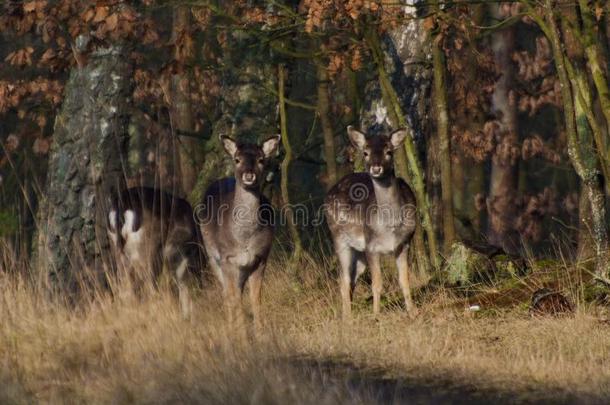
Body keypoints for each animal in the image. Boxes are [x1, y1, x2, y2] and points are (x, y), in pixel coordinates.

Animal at [107, 186, 202, 316]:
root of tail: (121, 209)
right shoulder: (180, 254)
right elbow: (182, 280)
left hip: (118, 252)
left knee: (125, 290)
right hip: (147, 252)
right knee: (149, 287)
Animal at [201, 133, 282, 328]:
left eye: (261, 159)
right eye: (237, 159)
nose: (249, 175)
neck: (244, 238)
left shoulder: (260, 258)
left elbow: (255, 299)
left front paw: (259, 331)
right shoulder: (227, 258)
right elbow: (234, 298)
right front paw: (240, 333)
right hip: (212, 256)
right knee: (227, 294)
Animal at [324, 126, 418, 318]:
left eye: (389, 151)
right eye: (365, 153)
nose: (376, 168)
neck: (390, 226)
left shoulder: (404, 244)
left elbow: (404, 280)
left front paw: (413, 312)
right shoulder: (371, 246)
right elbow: (377, 284)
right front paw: (376, 316)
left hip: (359, 253)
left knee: (352, 279)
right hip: (339, 239)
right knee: (343, 280)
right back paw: (348, 319)